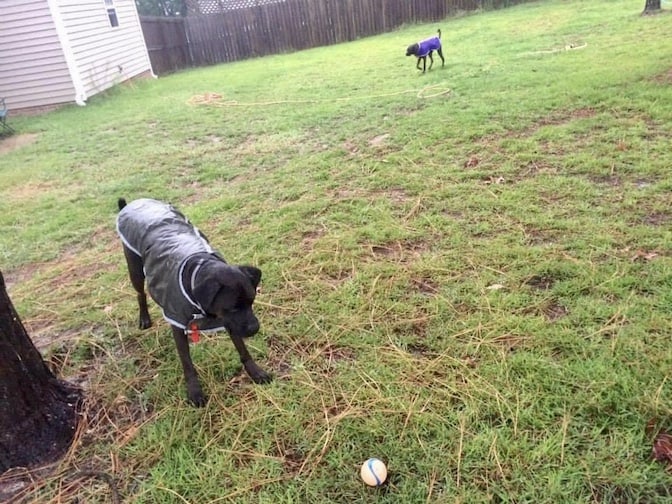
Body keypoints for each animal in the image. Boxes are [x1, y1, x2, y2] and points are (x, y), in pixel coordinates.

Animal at [117, 197, 272, 406]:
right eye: (232, 308)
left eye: (252, 302)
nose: (255, 328)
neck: (197, 268)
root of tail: (132, 203)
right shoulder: (180, 322)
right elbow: (187, 364)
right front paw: (194, 391)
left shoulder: (229, 322)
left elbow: (243, 350)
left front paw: (255, 372)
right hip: (135, 269)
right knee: (140, 293)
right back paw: (144, 319)